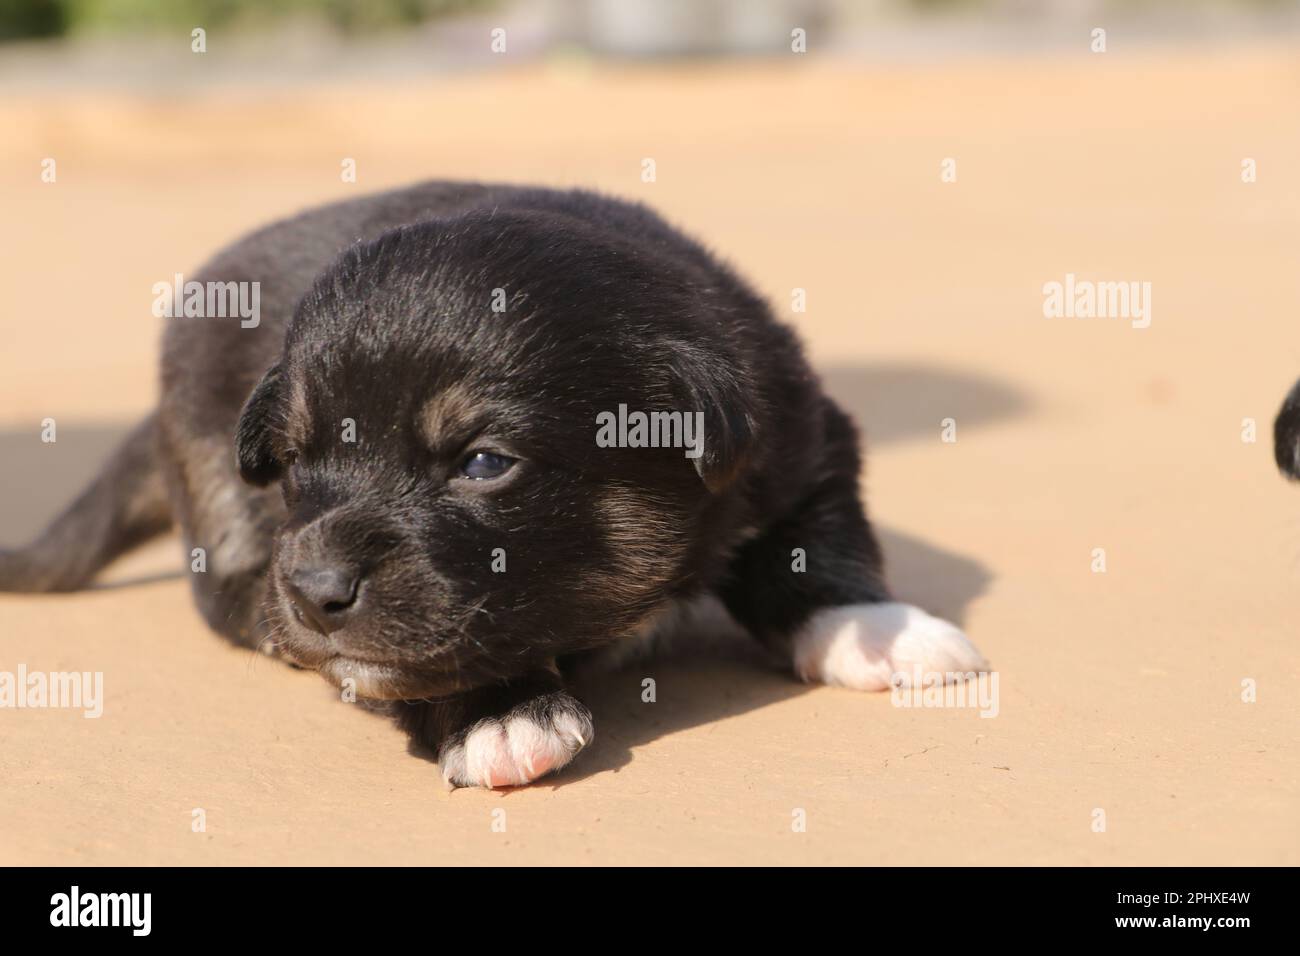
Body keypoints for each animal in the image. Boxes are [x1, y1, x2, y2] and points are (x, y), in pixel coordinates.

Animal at [0, 183, 982, 790]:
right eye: (295, 461)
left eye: (482, 464)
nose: (315, 593)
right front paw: (501, 716)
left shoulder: (802, 433)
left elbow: (815, 543)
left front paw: (880, 629)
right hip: (203, 447)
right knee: (220, 588)